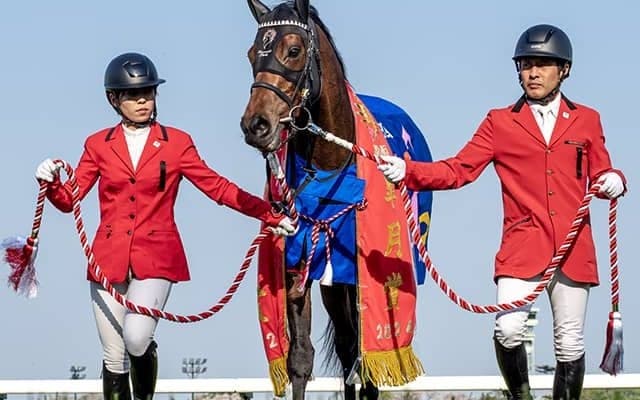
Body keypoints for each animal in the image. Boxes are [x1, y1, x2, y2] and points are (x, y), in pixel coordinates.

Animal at [240, 1, 427, 400]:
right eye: (251, 54)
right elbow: (300, 357)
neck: (331, 162)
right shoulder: (300, 266)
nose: (256, 125)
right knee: (344, 344)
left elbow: (365, 360)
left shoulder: (359, 274)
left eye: (294, 50)